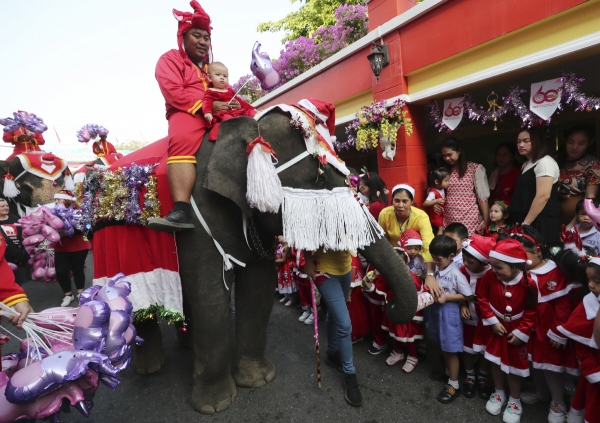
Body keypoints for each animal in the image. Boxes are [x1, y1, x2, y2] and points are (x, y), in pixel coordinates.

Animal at [132, 109, 418, 414]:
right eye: (318, 180)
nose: (387, 300)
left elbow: (258, 286)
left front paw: (259, 380)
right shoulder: (197, 223)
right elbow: (210, 295)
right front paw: (215, 405)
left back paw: (186, 346)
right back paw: (150, 367)